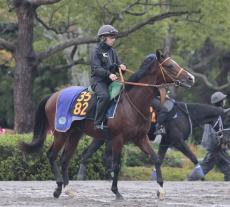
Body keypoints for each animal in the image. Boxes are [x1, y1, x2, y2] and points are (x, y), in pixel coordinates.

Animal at [19, 49, 194, 200]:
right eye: (170, 65)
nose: (190, 78)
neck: (131, 103)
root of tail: (53, 95)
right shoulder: (117, 139)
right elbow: (116, 165)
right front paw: (116, 192)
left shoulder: (140, 138)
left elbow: (156, 159)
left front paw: (161, 190)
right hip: (61, 133)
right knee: (52, 155)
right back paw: (58, 188)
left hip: (75, 134)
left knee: (64, 159)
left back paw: (68, 189)